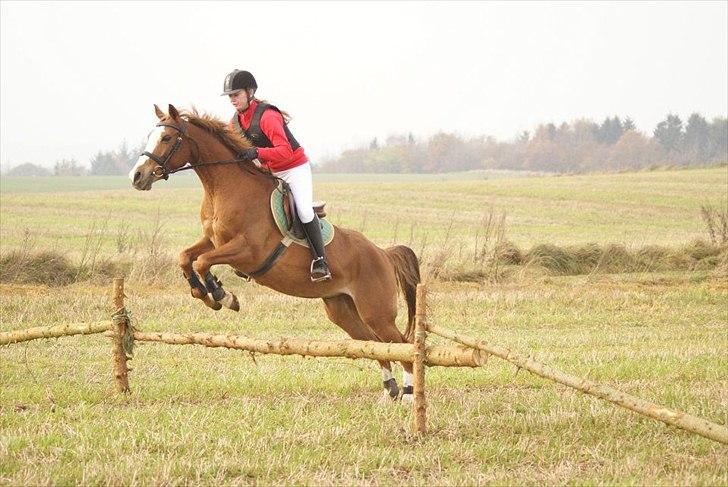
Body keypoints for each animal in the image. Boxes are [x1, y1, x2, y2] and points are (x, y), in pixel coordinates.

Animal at [128, 104, 421, 401]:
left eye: (166, 138)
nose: (137, 176)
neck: (223, 188)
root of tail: (383, 254)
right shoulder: (212, 240)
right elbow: (186, 257)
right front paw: (204, 294)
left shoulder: (248, 251)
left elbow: (202, 262)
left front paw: (223, 296)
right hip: (341, 308)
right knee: (373, 344)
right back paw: (390, 390)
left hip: (377, 311)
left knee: (401, 343)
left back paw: (409, 394)